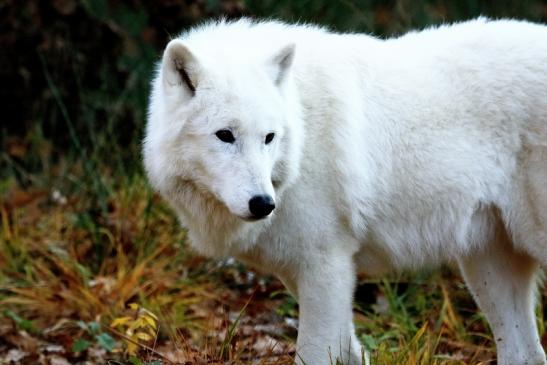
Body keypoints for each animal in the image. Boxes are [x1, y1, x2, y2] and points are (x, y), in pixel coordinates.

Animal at [144, 17, 547, 364]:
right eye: (225, 135)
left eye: (269, 137)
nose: (263, 204)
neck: (302, 129)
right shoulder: (310, 275)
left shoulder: (326, 267)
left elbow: (314, 354)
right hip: (488, 265)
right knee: (527, 354)